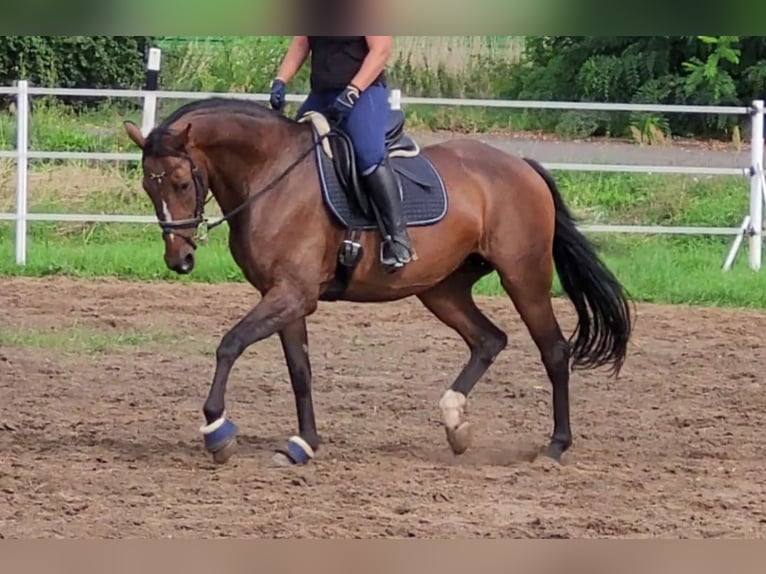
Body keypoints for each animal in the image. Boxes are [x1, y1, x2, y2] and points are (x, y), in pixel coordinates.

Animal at [122, 95, 634, 467]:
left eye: (181, 182)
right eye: (149, 185)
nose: (179, 259)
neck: (272, 175)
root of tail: (522, 166)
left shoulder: (291, 294)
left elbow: (229, 344)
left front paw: (217, 430)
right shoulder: (286, 296)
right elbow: (300, 370)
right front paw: (304, 443)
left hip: (523, 277)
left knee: (554, 351)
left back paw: (556, 445)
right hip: (442, 289)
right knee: (489, 339)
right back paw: (456, 422)